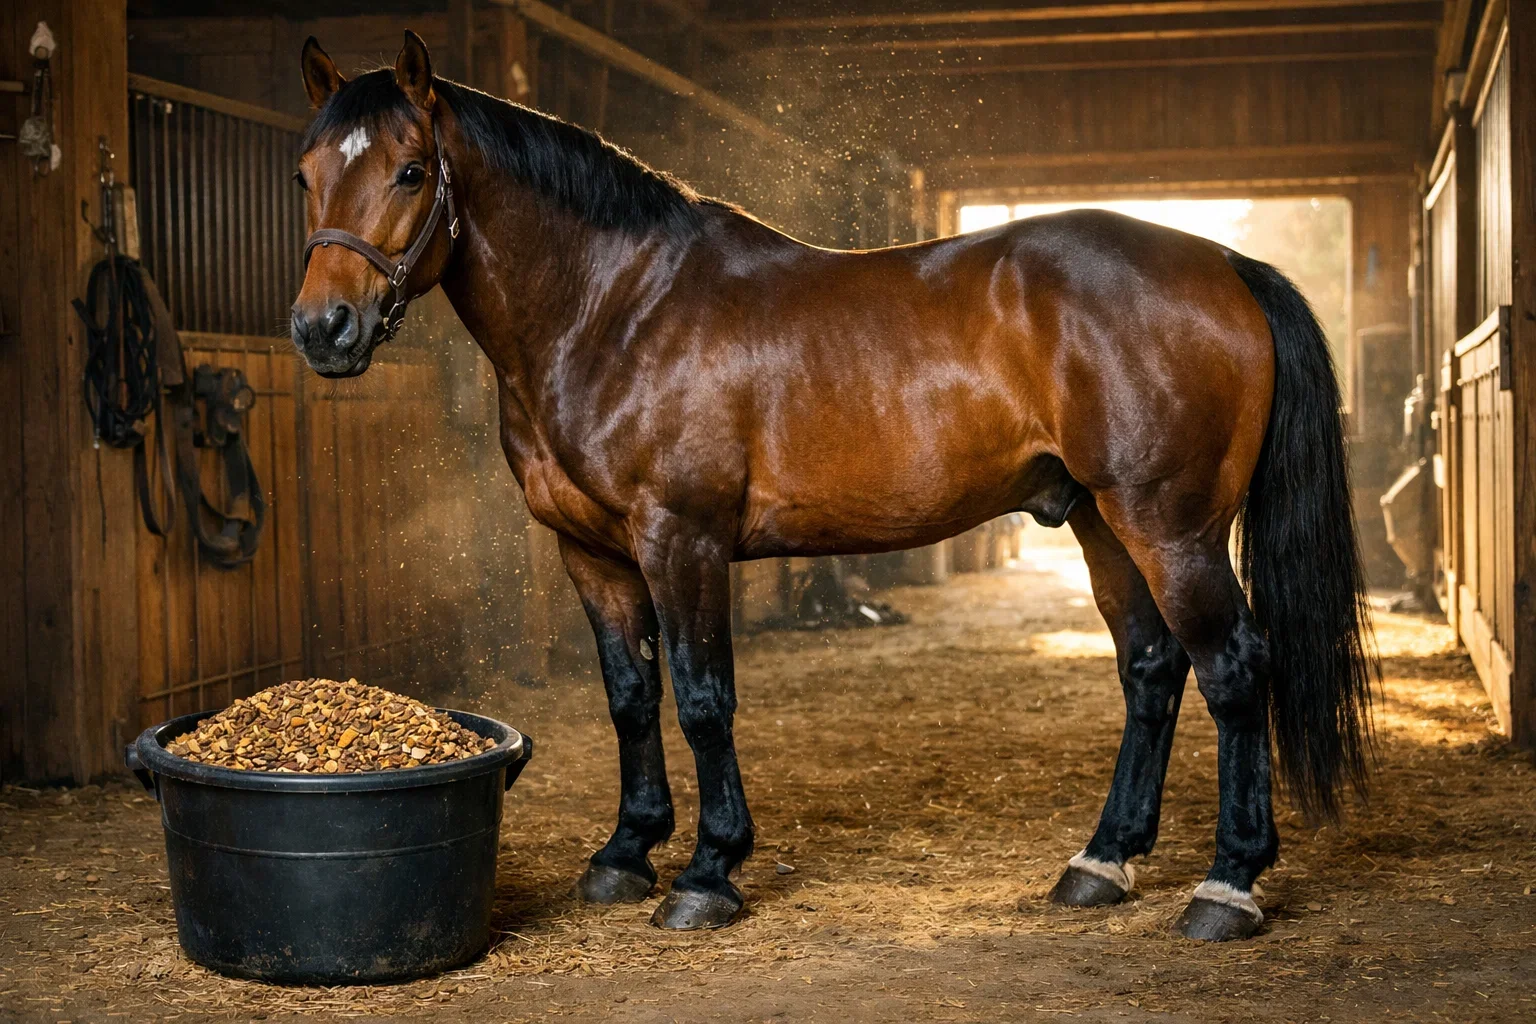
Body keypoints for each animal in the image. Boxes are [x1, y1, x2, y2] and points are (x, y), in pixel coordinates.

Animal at [289, 31, 1376, 941]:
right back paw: (1101, 863)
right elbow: (630, 697)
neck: (616, 308)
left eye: (411, 169)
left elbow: (703, 699)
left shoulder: (681, 539)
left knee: (1234, 668)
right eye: (306, 172)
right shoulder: (590, 552)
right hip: (1105, 526)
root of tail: (1223, 262)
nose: (322, 330)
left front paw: (708, 874)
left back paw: (1227, 886)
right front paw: (626, 853)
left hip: (1171, 527)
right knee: (1151, 667)